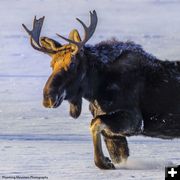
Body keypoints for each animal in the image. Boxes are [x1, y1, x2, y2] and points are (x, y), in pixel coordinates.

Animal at [22, 10, 180, 169]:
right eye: (51, 64)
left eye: (72, 63)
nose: (48, 97)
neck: (95, 89)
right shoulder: (114, 132)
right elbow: (117, 153)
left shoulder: (135, 120)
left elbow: (94, 124)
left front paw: (103, 162)